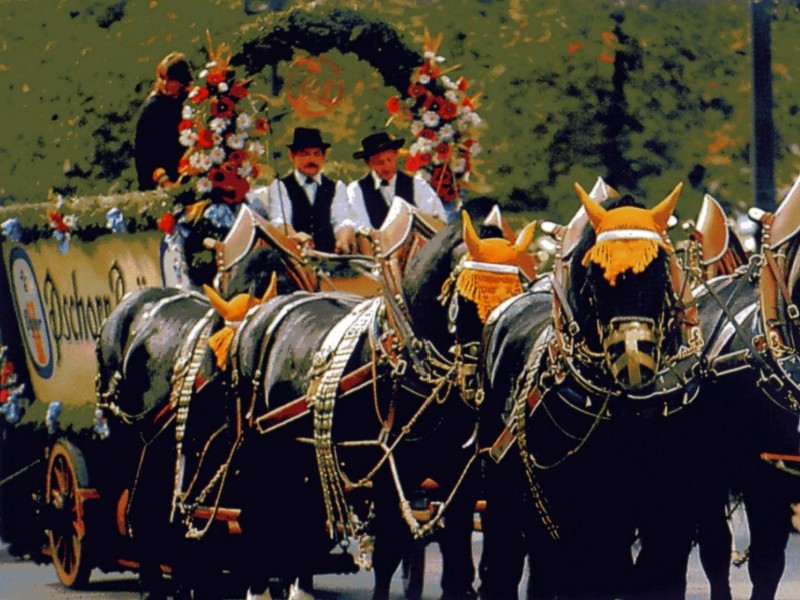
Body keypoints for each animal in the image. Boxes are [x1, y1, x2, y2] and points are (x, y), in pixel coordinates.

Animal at [225, 203, 536, 600]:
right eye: (469, 299)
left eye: (520, 292)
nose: (488, 373)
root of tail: (264, 311)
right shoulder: (388, 469)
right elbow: (389, 548)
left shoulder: (459, 474)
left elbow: (456, 554)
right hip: (257, 448)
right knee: (257, 518)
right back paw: (262, 585)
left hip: (299, 455)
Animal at [478, 184, 720, 600]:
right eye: (594, 273)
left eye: (660, 268)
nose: (633, 354)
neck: (632, 413)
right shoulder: (592, 519)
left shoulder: (672, 513)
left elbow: (659, 575)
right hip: (505, 495)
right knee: (507, 561)